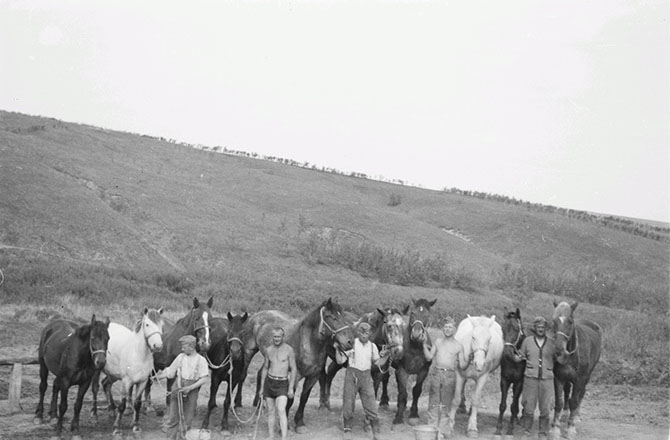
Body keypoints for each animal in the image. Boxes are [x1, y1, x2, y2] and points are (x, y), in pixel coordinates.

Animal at [89, 306, 165, 436]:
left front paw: (136, 426)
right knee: (95, 388)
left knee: (106, 384)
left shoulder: (142, 382)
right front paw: (116, 428)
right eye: (147, 324)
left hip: (113, 374)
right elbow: (122, 405)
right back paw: (94, 415)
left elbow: (137, 404)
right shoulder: (126, 382)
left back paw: (111, 410)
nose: (158, 345)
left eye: (161, 324)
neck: (138, 354)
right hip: (97, 369)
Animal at [242, 298, 356, 432]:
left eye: (343, 316)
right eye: (332, 317)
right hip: (249, 352)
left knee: (261, 374)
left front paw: (299, 423)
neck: (307, 343)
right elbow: (290, 399)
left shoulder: (313, 376)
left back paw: (260, 403)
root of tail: (255, 316)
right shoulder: (295, 376)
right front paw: (284, 425)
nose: (350, 342)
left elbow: (304, 398)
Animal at [552, 300, 604, 440]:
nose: (558, 351)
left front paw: (570, 429)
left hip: (587, 376)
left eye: (570, 321)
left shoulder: (580, 379)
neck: (571, 355)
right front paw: (555, 429)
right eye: (554, 320)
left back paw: (576, 416)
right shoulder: (559, 377)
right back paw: (565, 413)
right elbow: (559, 402)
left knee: (581, 394)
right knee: (567, 392)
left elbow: (574, 401)